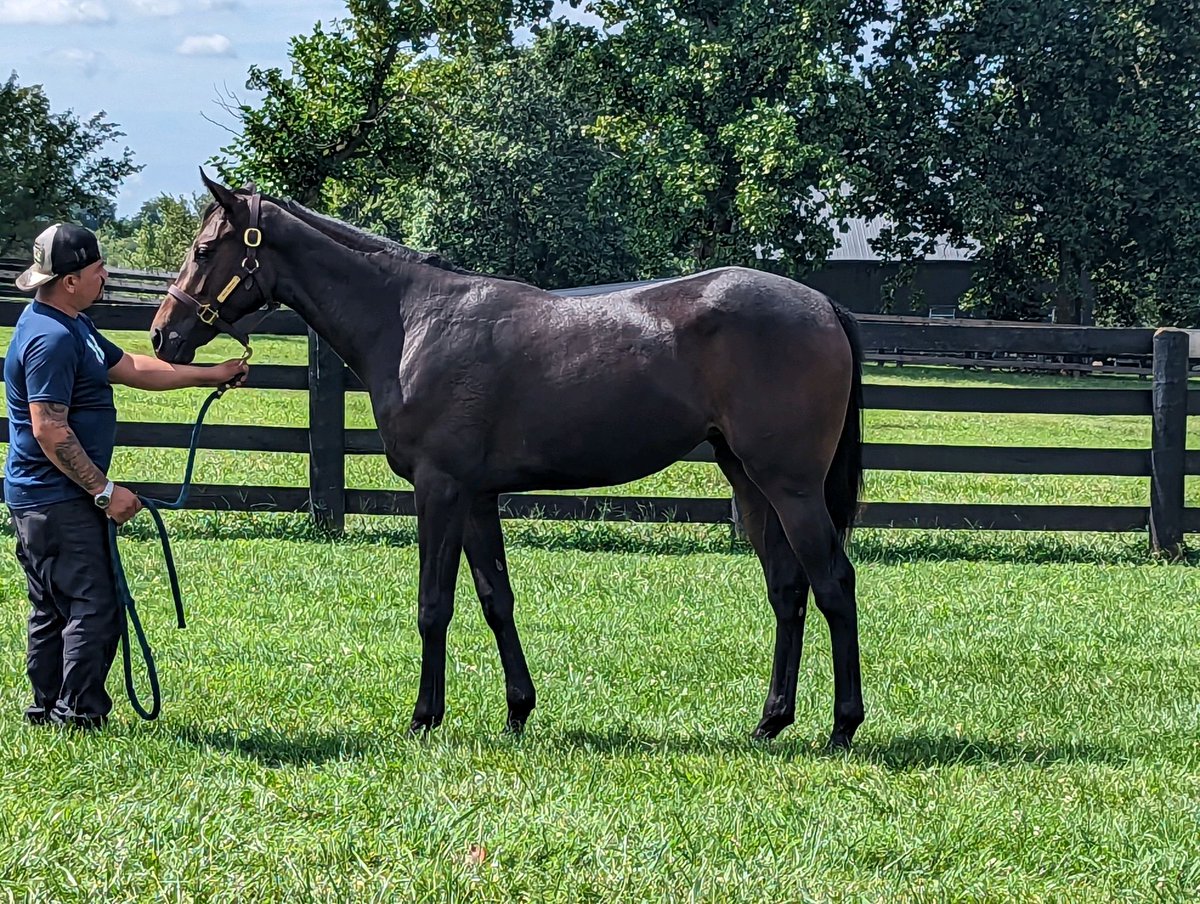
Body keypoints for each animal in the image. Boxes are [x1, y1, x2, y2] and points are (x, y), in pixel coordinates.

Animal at [150, 172, 867, 749]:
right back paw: (771, 721)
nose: (162, 336)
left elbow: (434, 603)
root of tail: (823, 304)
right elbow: (497, 598)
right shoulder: (476, 495)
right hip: (750, 482)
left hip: (791, 486)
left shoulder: (439, 488)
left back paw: (843, 726)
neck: (411, 321)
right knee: (788, 589)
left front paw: (424, 718)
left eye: (204, 251)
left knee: (833, 583)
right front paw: (518, 710)